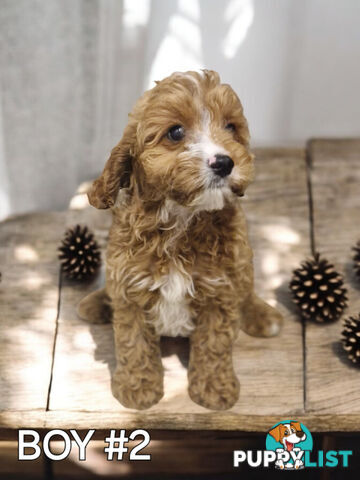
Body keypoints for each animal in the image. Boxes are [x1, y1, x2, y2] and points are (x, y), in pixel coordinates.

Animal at [77, 69, 282, 410]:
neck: (181, 219)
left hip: (245, 261)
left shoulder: (220, 290)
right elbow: (133, 342)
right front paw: (137, 388)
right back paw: (96, 302)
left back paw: (263, 315)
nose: (224, 162)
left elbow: (214, 344)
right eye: (175, 133)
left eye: (231, 127)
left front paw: (213, 388)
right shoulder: (130, 286)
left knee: (247, 289)